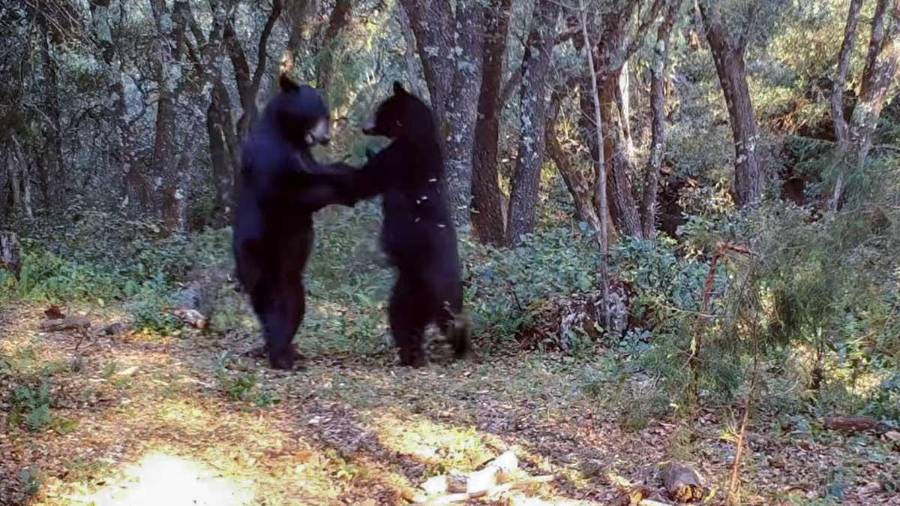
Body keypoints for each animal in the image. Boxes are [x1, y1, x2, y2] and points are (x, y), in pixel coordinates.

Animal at [232, 74, 356, 370]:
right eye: (318, 114)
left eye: (327, 115)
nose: (326, 137)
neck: (287, 133)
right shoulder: (270, 158)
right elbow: (296, 193)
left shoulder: (304, 155)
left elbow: (315, 173)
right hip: (256, 253)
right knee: (269, 299)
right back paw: (280, 354)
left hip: (286, 266)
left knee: (293, 300)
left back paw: (286, 348)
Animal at [352, 82, 471, 367]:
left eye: (380, 110)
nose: (364, 127)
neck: (416, 133)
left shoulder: (402, 157)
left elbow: (366, 178)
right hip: (407, 289)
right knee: (403, 319)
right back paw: (414, 353)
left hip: (432, 288)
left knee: (438, 320)